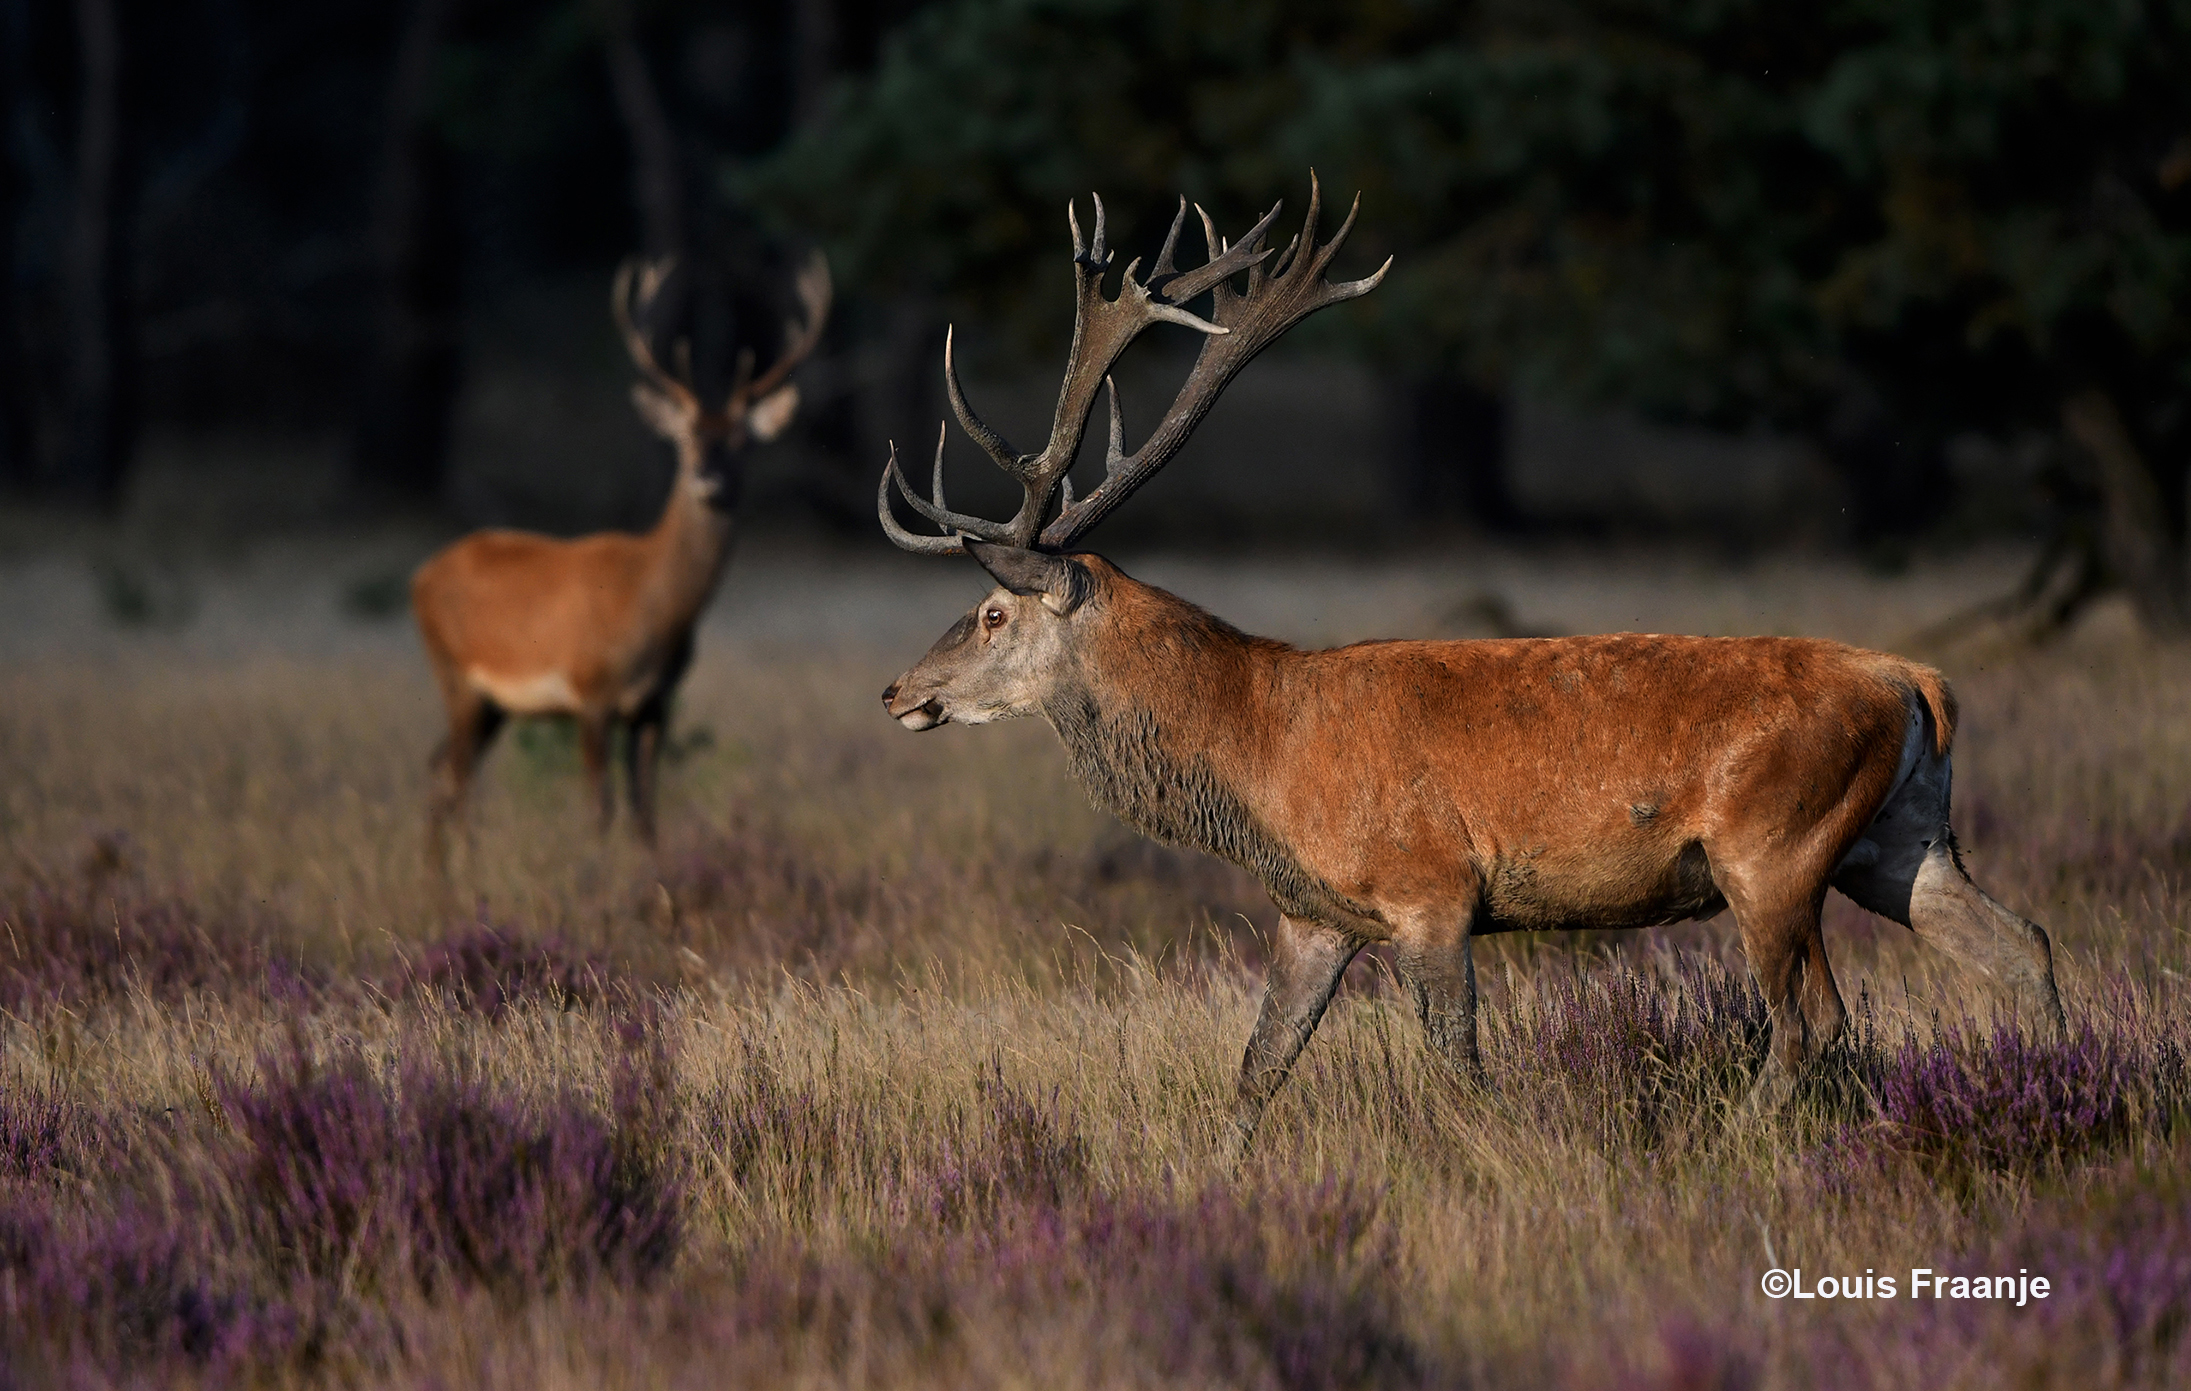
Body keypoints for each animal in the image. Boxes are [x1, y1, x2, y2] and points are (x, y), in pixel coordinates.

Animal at [416, 253, 828, 858]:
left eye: (743, 441)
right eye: (686, 438)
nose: (708, 480)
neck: (653, 608)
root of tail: (419, 577)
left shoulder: (653, 705)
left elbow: (645, 812)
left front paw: (650, 874)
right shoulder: (590, 691)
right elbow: (600, 807)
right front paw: (593, 874)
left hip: (493, 703)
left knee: (439, 769)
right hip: (455, 675)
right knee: (457, 779)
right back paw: (463, 870)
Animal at [872, 174, 2050, 1156]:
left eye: (989, 612)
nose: (896, 691)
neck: (1257, 750)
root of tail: (1918, 684)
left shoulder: (1429, 889)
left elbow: (1459, 1064)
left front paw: (1526, 1156)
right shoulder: (1313, 911)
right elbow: (1257, 1068)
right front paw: (1213, 1179)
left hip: (1773, 848)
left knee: (1813, 1021)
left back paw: (1726, 1146)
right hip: (1898, 838)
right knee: (2020, 941)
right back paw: (2047, 1077)